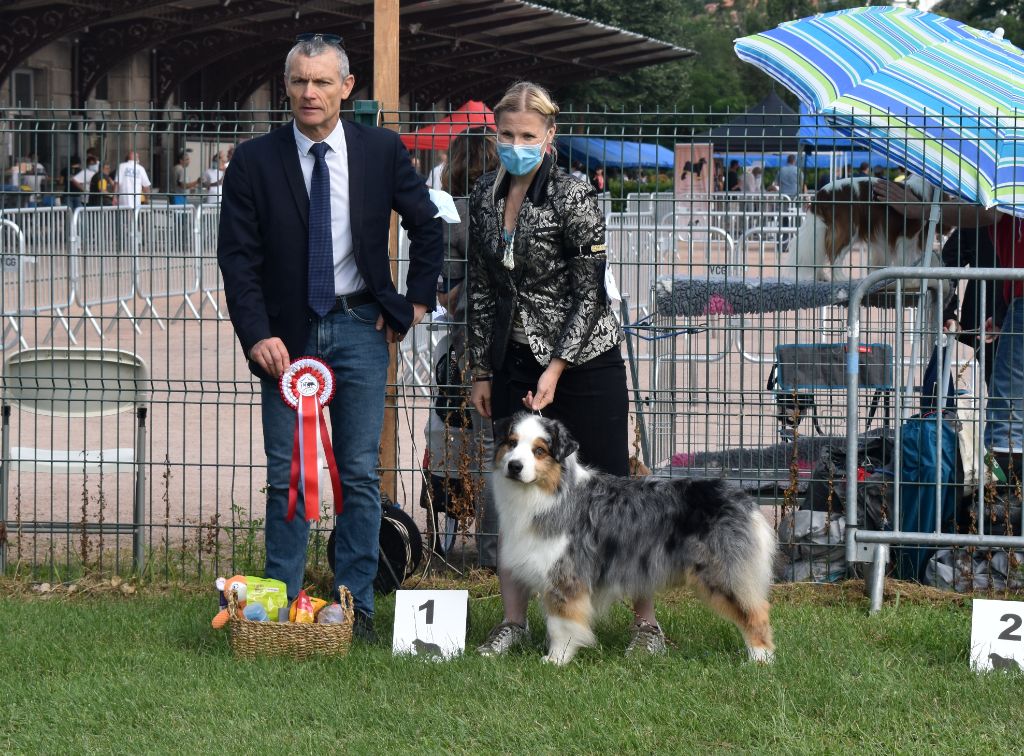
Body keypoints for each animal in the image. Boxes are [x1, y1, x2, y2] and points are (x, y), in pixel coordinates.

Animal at [489, 409, 774, 663]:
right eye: (512, 443)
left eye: (539, 451)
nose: (514, 466)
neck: (550, 492)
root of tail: (742, 499)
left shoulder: (566, 576)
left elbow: (561, 624)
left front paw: (556, 659)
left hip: (722, 574)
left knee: (756, 613)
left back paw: (760, 660)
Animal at [782, 175, 929, 280]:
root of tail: (822, 194)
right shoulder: (908, 235)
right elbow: (907, 257)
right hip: (849, 229)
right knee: (834, 254)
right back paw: (841, 279)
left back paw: (822, 277)